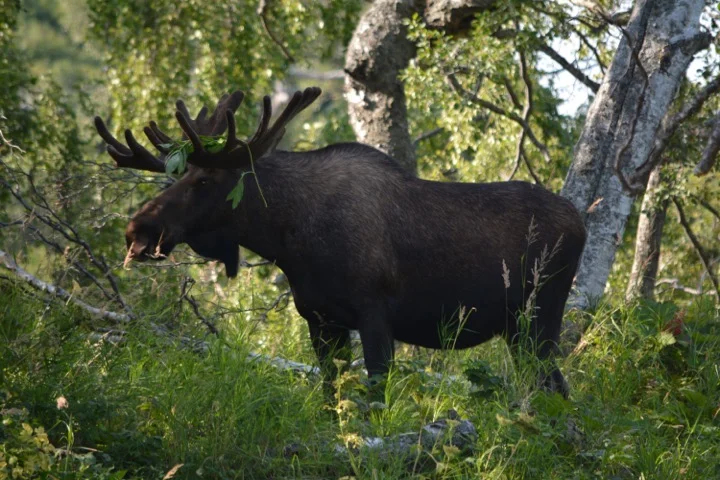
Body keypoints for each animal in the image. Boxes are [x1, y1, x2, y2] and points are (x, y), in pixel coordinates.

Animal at [94, 87, 586, 398]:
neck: (286, 238)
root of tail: (581, 224)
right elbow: (333, 399)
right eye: (176, 176)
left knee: (556, 389)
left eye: (203, 180)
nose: (137, 231)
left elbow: (375, 397)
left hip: (540, 317)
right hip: (519, 329)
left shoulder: (374, 312)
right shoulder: (319, 318)